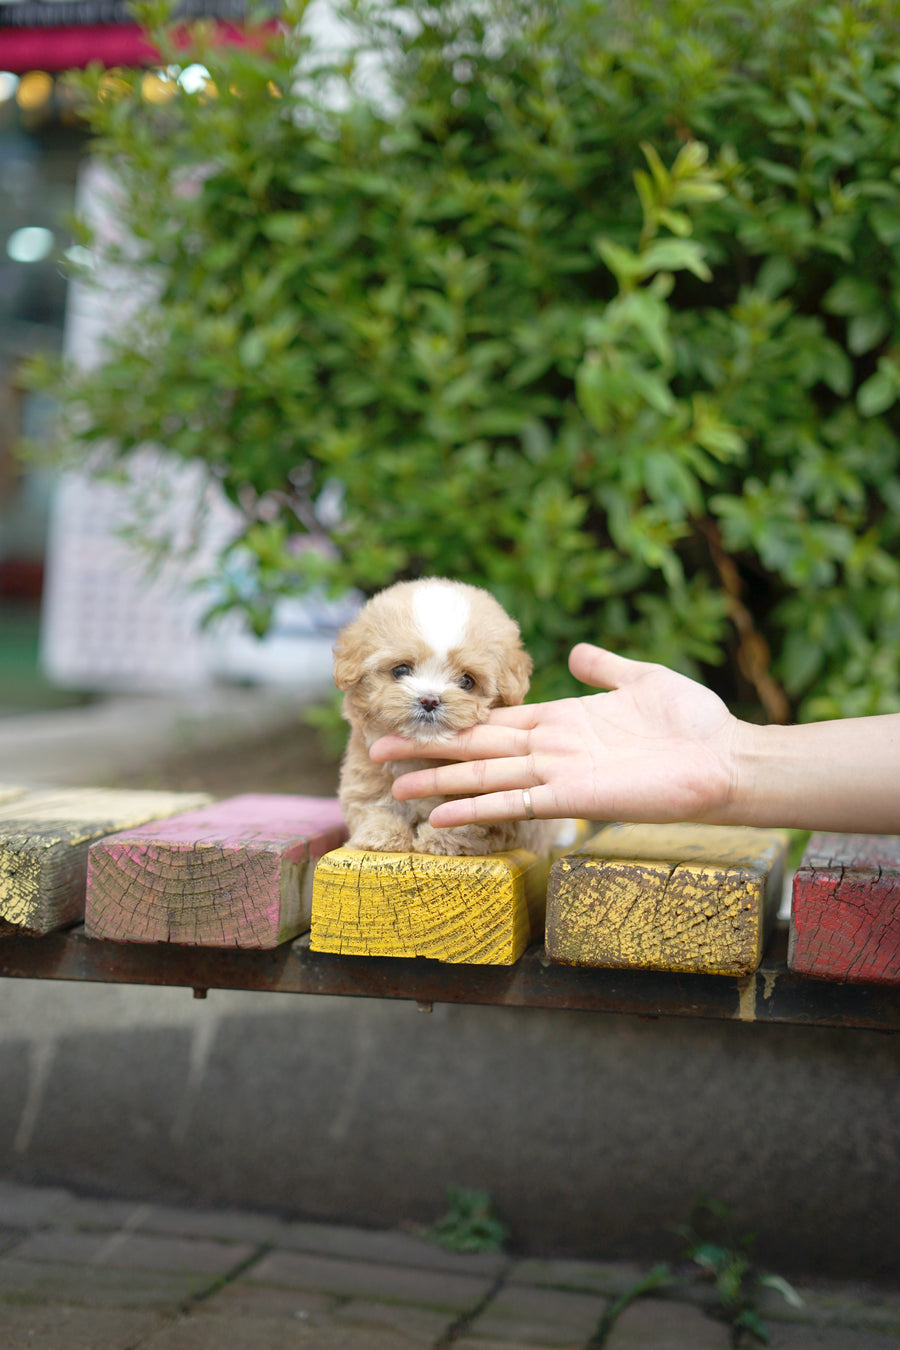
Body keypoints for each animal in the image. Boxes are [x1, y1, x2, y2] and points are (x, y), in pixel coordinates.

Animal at [334, 577, 550, 853]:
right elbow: (373, 807)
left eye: (467, 681)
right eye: (400, 670)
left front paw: (438, 838)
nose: (429, 700)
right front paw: (382, 835)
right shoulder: (365, 776)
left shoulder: (498, 818)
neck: (424, 758)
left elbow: (469, 823)